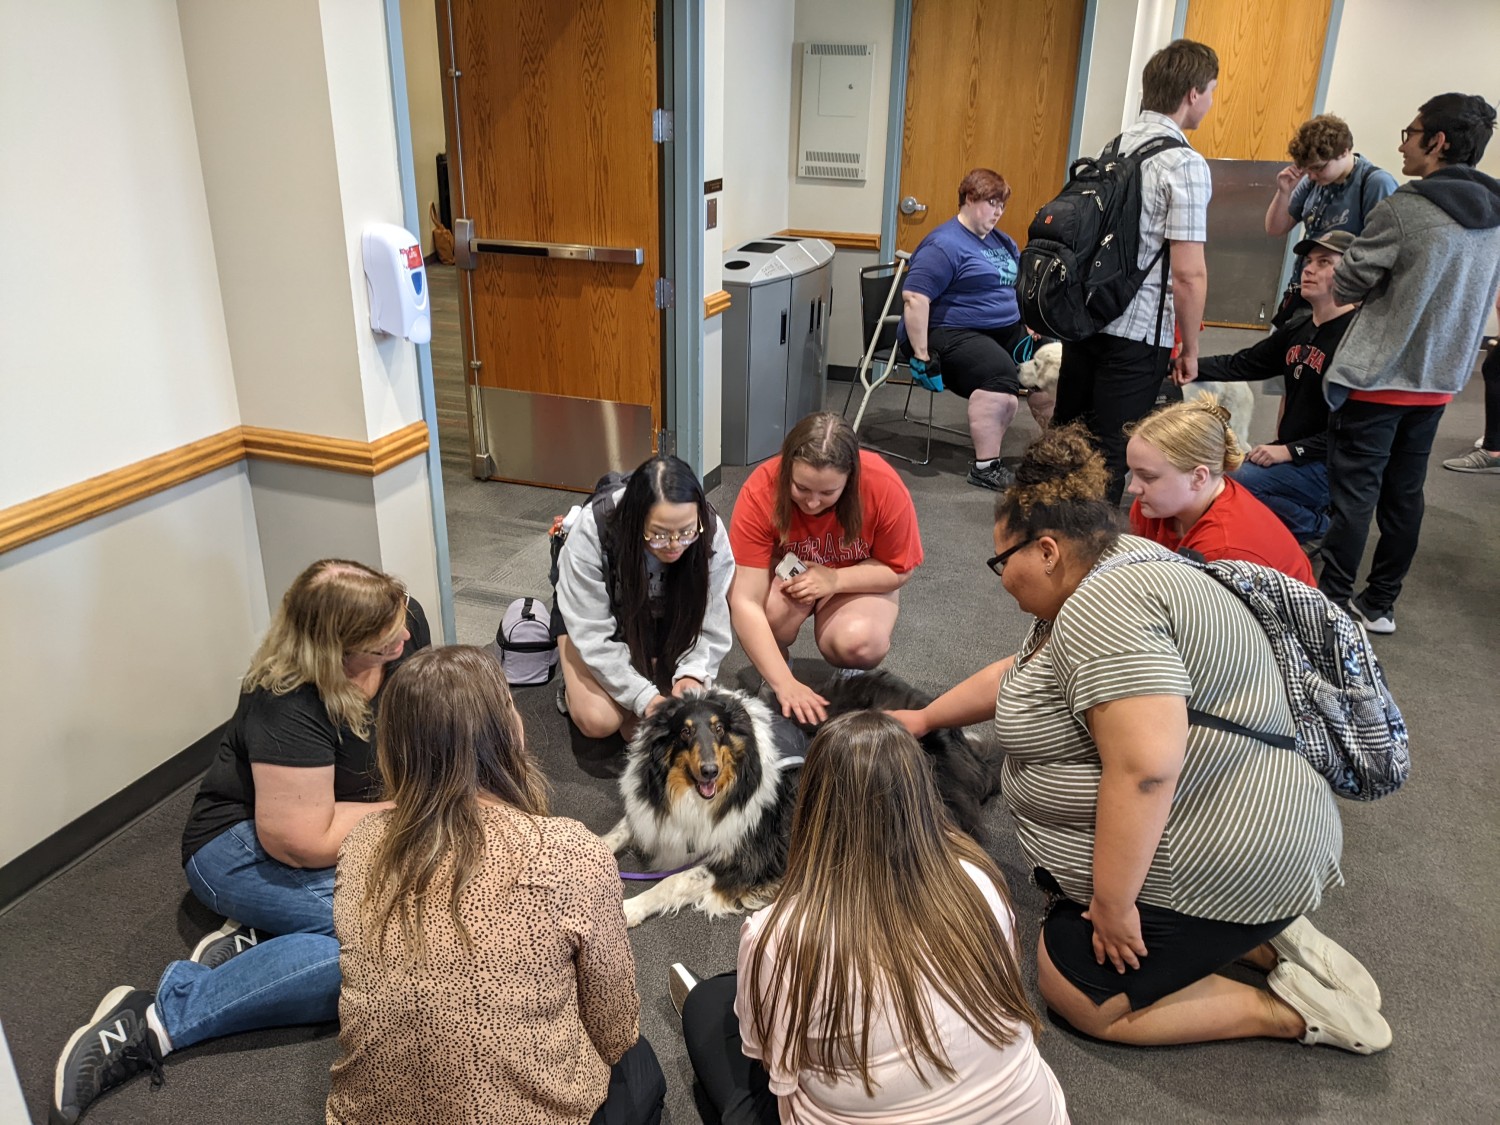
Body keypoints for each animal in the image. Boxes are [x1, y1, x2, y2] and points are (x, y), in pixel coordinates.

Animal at [603, 675, 1002, 930]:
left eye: (719, 729)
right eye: (685, 732)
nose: (709, 772)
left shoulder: (749, 856)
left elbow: (673, 881)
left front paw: (629, 908)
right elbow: (616, 834)